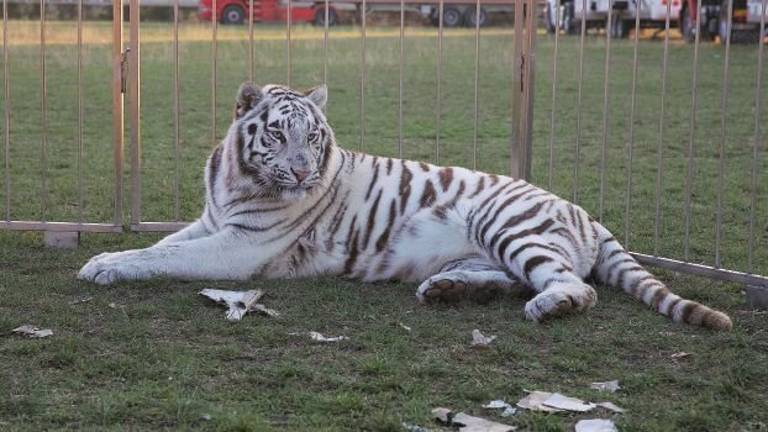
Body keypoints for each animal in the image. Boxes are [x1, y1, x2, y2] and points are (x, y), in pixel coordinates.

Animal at [78, 82, 732, 330]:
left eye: (313, 137)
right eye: (278, 134)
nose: (302, 171)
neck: (239, 181)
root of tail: (586, 211)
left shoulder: (239, 246)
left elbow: (157, 258)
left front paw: (104, 264)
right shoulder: (212, 222)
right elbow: (161, 244)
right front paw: (106, 257)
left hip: (506, 223)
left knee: (572, 286)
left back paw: (546, 307)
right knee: (518, 278)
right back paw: (451, 291)